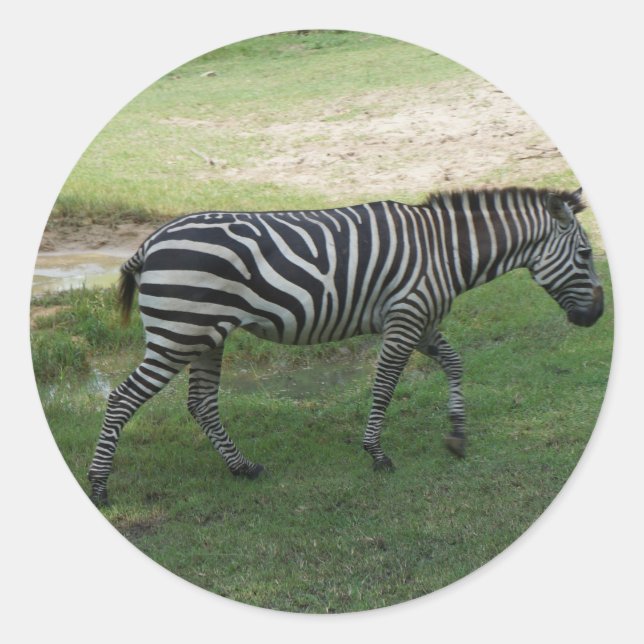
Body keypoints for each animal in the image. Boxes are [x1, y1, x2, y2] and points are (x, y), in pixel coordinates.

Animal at [88, 186, 604, 505]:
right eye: (585, 254)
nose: (597, 316)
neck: (446, 251)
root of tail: (151, 242)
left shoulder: (419, 318)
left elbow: (456, 363)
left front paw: (457, 435)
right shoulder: (406, 315)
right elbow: (385, 386)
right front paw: (376, 454)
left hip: (206, 335)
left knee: (201, 403)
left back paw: (244, 468)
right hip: (179, 335)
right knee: (121, 400)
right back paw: (99, 488)